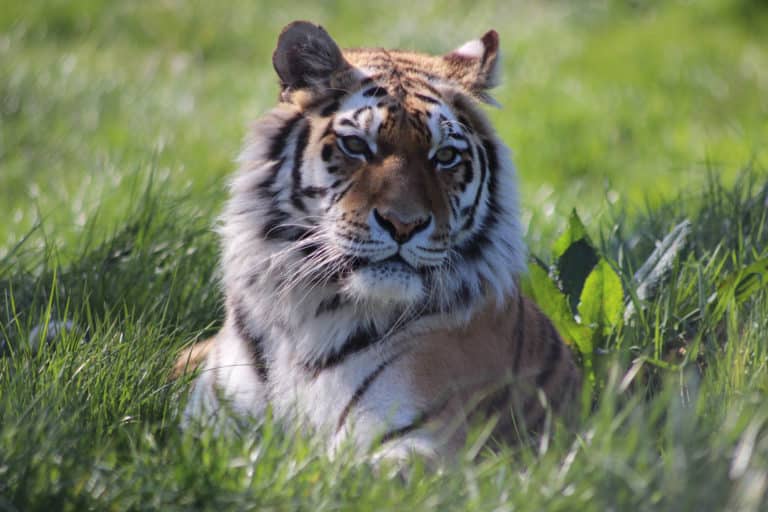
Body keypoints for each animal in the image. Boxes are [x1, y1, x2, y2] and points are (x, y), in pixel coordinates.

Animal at [176, 20, 584, 462]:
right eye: (356, 145)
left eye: (444, 156)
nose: (403, 225)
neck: (306, 316)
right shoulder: (208, 426)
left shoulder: (414, 441)